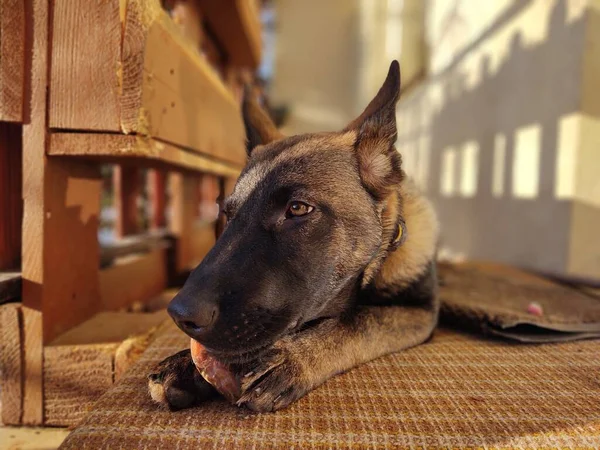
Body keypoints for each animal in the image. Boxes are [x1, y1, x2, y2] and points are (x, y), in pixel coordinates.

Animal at [149, 61, 440, 414]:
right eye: (228, 214)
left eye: (298, 208)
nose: (180, 316)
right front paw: (184, 363)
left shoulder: (418, 311)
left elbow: (358, 321)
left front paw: (297, 356)